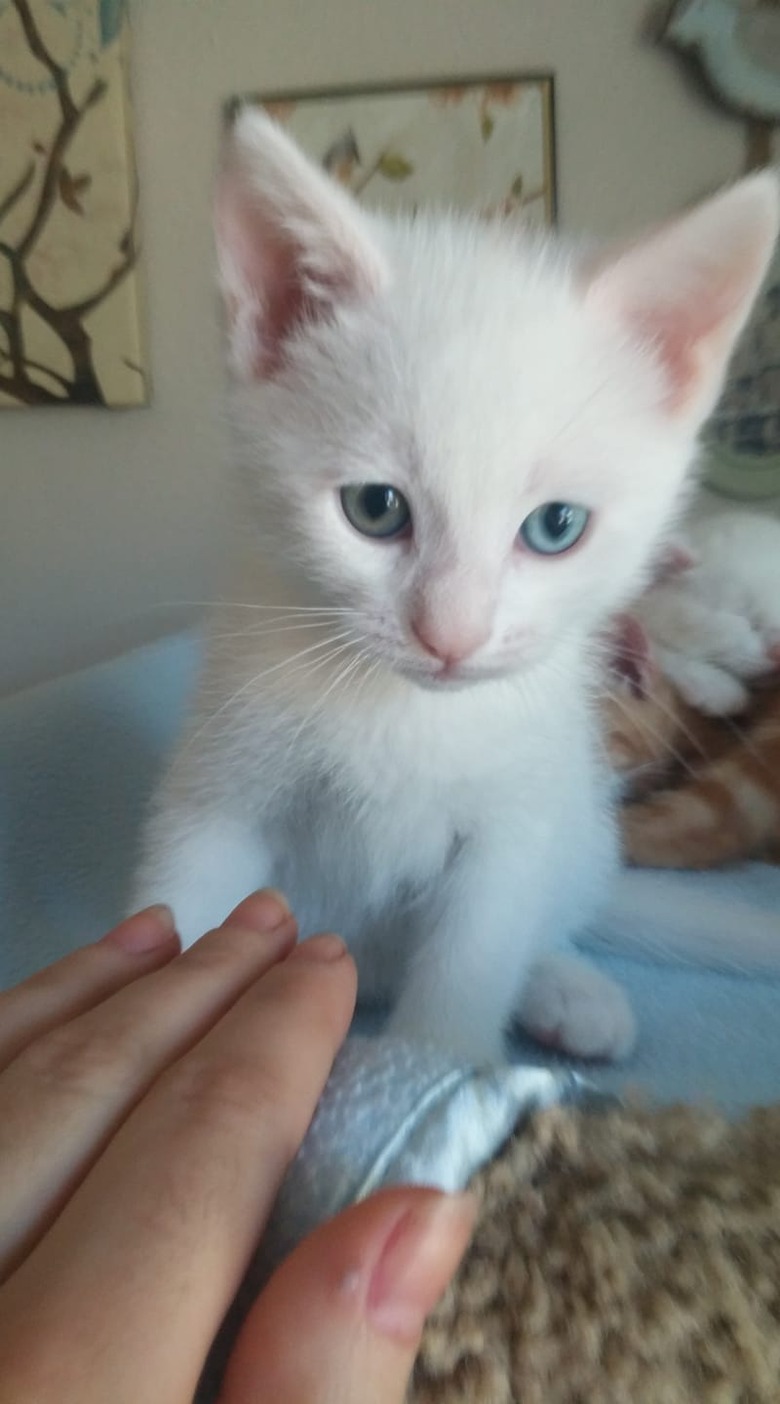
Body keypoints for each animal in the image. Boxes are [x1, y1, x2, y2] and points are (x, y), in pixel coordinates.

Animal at [131, 117, 774, 1061]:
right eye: (374, 508)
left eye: (556, 527)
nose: (451, 637)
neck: (402, 713)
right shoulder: (219, 792)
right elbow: (180, 911)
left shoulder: (512, 830)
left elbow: (465, 980)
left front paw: (428, 1072)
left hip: (575, 820)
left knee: (550, 916)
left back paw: (567, 989)